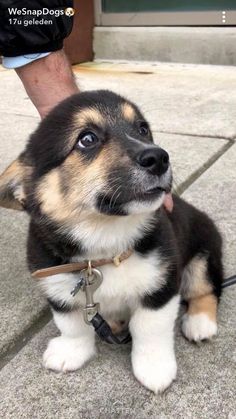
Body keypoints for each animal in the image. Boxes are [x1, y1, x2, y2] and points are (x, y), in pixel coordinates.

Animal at [0, 91, 223, 394]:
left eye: (143, 129)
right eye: (87, 139)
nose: (159, 157)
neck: (105, 243)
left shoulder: (162, 286)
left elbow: (149, 328)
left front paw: (154, 368)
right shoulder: (58, 288)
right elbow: (72, 325)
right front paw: (71, 352)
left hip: (204, 254)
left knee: (205, 290)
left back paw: (200, 323)